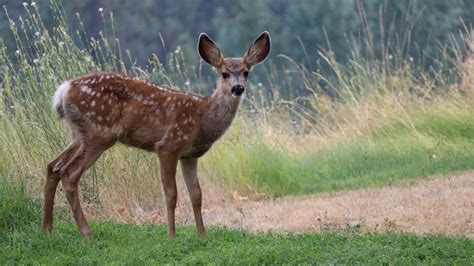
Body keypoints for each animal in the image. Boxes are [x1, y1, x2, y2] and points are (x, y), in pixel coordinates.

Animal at [42, 31, 272, 239]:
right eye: (224, 73)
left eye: (246, 72)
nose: (237, 88)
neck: (203, 118)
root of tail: (64, 90)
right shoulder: (168, 145)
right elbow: (171, 194)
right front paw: (171, 235)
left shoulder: (189, 155)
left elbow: (196, 194)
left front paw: (201, 235)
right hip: (99, 132)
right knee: (69, 174)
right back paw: (86, 233)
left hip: (79, 134)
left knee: (53, 166)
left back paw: (47, 228)